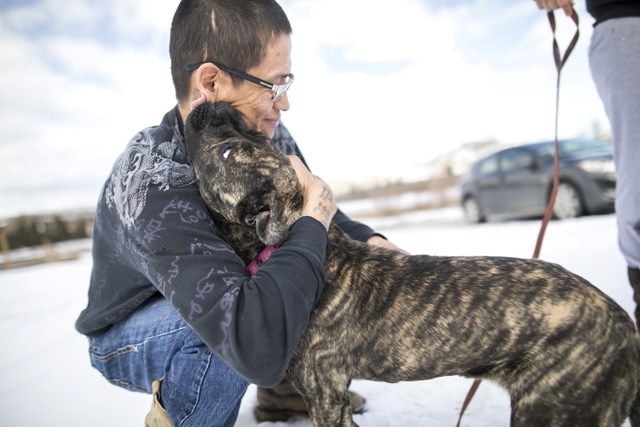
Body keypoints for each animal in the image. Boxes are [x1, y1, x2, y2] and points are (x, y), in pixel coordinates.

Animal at [184, 103, 640, 427]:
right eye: (251, 133)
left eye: (228, 151)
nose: (214, 105)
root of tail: (625, 326)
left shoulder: (326, 396)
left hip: (553, 410)